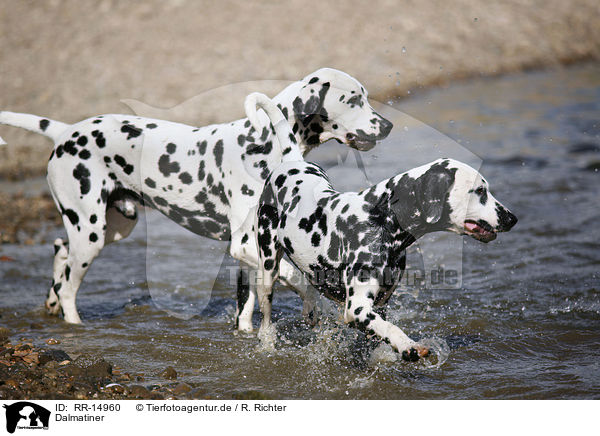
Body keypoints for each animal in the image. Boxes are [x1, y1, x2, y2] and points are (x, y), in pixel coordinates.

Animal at [0, 68, 394, 326]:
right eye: (354, 99)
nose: (388, 125)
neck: (265, 142)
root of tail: (65, 132)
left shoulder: (247, 255)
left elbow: (246, 309)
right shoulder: (248, 247)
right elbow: (300, 281)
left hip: (112, 227)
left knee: (60, 254)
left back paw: (51, 301)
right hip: (91, 235)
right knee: (68, 287)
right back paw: (73, 322)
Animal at [251, 95, 516, 362]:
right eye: (480, 191)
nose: (512, 218)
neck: (380, 218)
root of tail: (292, 161)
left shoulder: (380, 303)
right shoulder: (357, 308)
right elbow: (391, 328)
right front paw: (408, 345)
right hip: (267, 271)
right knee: (266, 321)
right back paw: (267, 344)